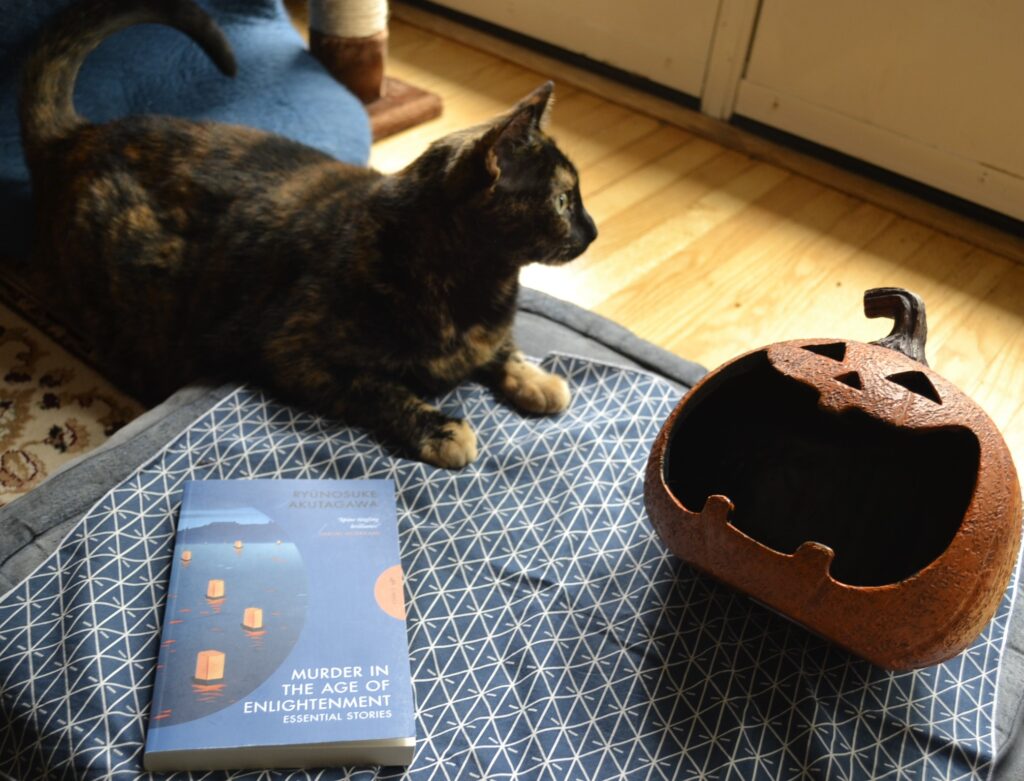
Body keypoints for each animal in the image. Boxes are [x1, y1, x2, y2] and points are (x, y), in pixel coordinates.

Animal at [19, 0, 598, 464]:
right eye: (563, 200)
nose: (592, 231)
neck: (480, 285)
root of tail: (78, 136)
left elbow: (499, 349)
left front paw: (535, 379)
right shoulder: (292, 352)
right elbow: (377, 387)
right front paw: (439, 429)